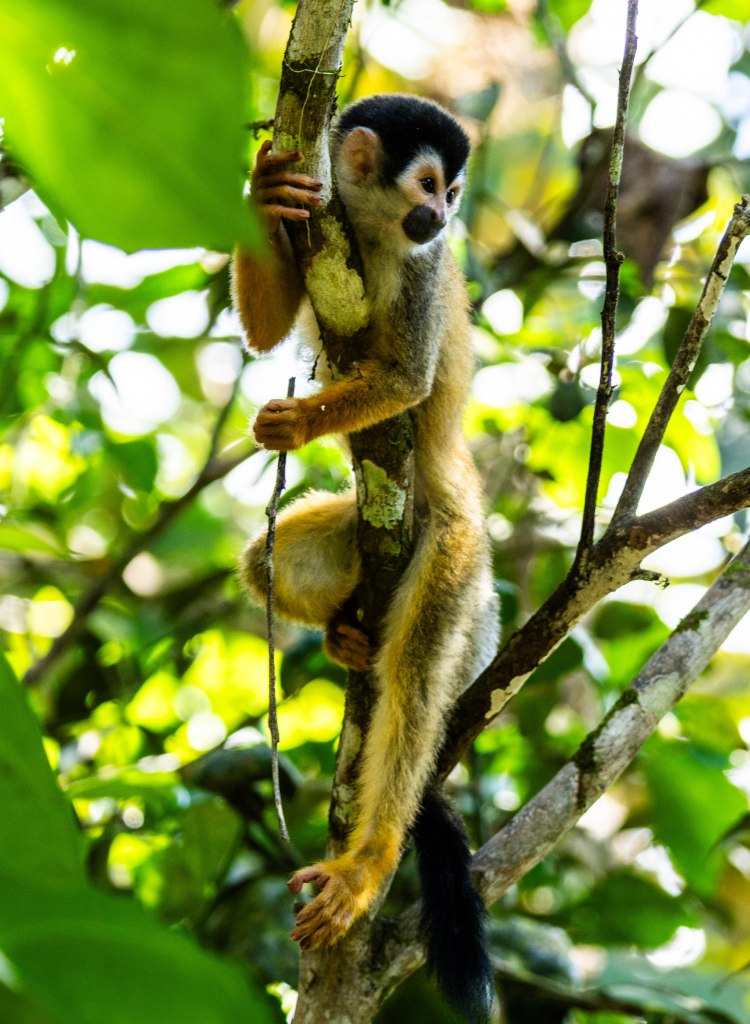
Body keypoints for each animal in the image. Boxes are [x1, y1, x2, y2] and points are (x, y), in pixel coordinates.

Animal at [232, 94, 499, 1023]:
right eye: (429, 185)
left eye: (451, 193)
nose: (444, 217)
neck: (380, 234)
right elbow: (267, 327)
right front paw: (266, 186)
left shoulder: (427, 269)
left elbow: (409, 381)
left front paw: (298, 423)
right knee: (264, 563)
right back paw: (347, 635)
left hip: (457, 556)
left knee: (418, 674)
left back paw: (373, 857)